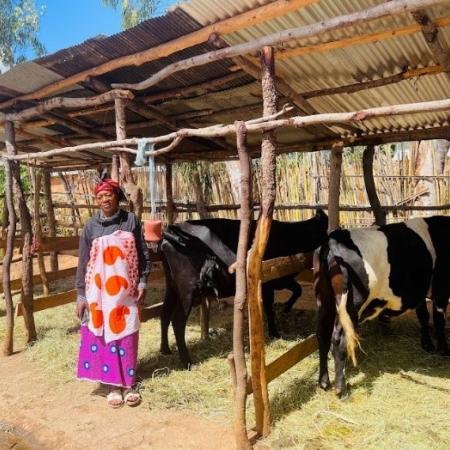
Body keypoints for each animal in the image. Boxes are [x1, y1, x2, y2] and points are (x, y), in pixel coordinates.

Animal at [314, 216, 450, 400]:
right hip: (351, 304)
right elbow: (438, 320)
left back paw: (323, 382)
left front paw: (427, 345)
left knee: (322, 334)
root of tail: (333, 239)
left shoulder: (420, 292)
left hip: (324, 300)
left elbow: (423, 316)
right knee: (339, 340)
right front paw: (443, 349)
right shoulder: (441, 287)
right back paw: (342, 390)